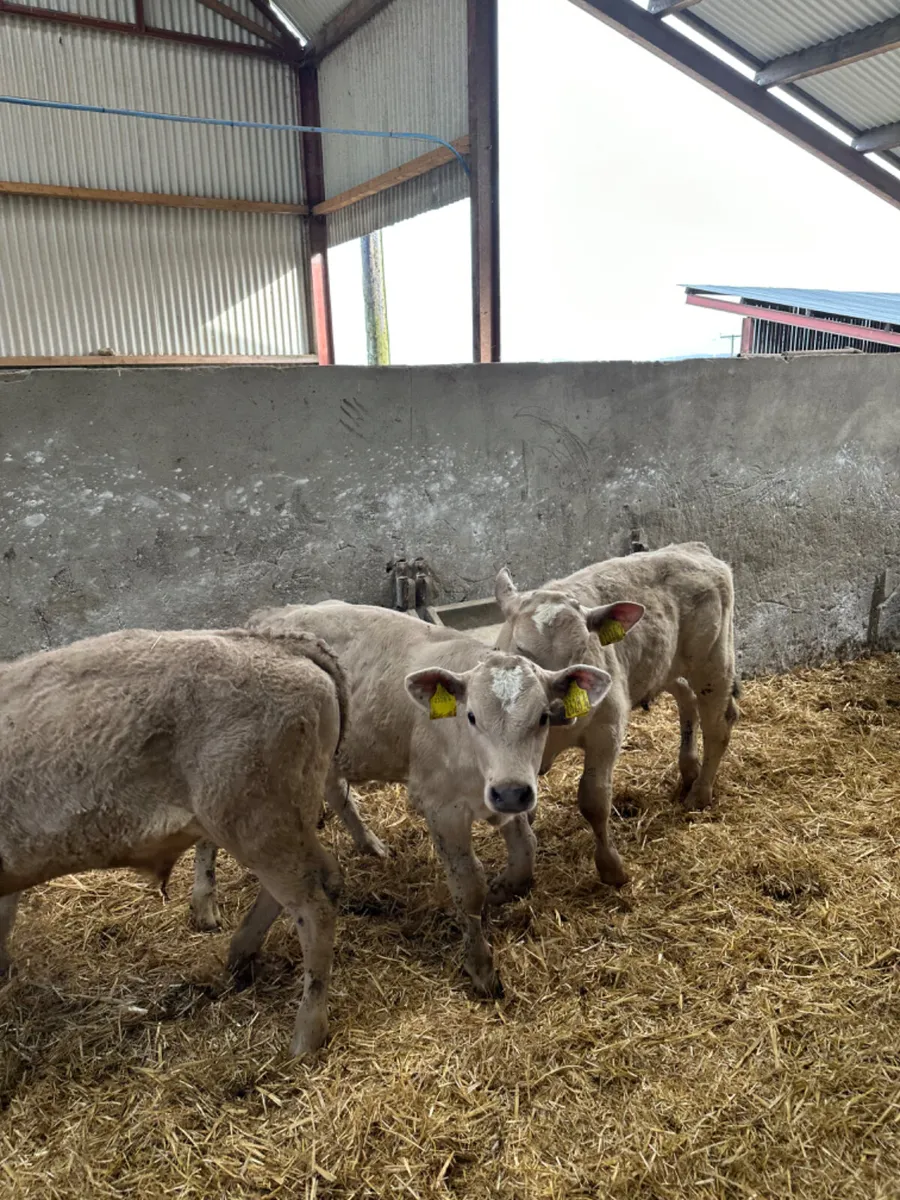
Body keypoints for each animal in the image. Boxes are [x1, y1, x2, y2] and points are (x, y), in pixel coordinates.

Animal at [0, 627, 351, 1056]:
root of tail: (275, 642)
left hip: (260, 826)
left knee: (313, 905)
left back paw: (306, 1034)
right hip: (276, 827)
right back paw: (240, 956)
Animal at [192, 602, 611, 999]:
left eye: (543, 717)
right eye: (472, 716)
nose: (510, 792)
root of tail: (266, 618)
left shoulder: (508, 792)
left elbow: (526, 850)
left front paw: (504, 889)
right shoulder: (442, 807)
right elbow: (468, 887)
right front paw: (480, 967)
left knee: (334, 791)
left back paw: (370, 844)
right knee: (206, 831)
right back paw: (204, 904)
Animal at [494, 542, 738, 888]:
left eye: (581, 653)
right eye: (523, 651)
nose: (556, 708)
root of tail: (692, 548)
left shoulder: (606, 729)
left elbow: (594, 800)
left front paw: (611, 868)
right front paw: (514, 874)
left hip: (713, 661)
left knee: (718, 727)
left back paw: (700, 794)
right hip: (665, 666)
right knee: (686, 699)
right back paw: (689, 769)